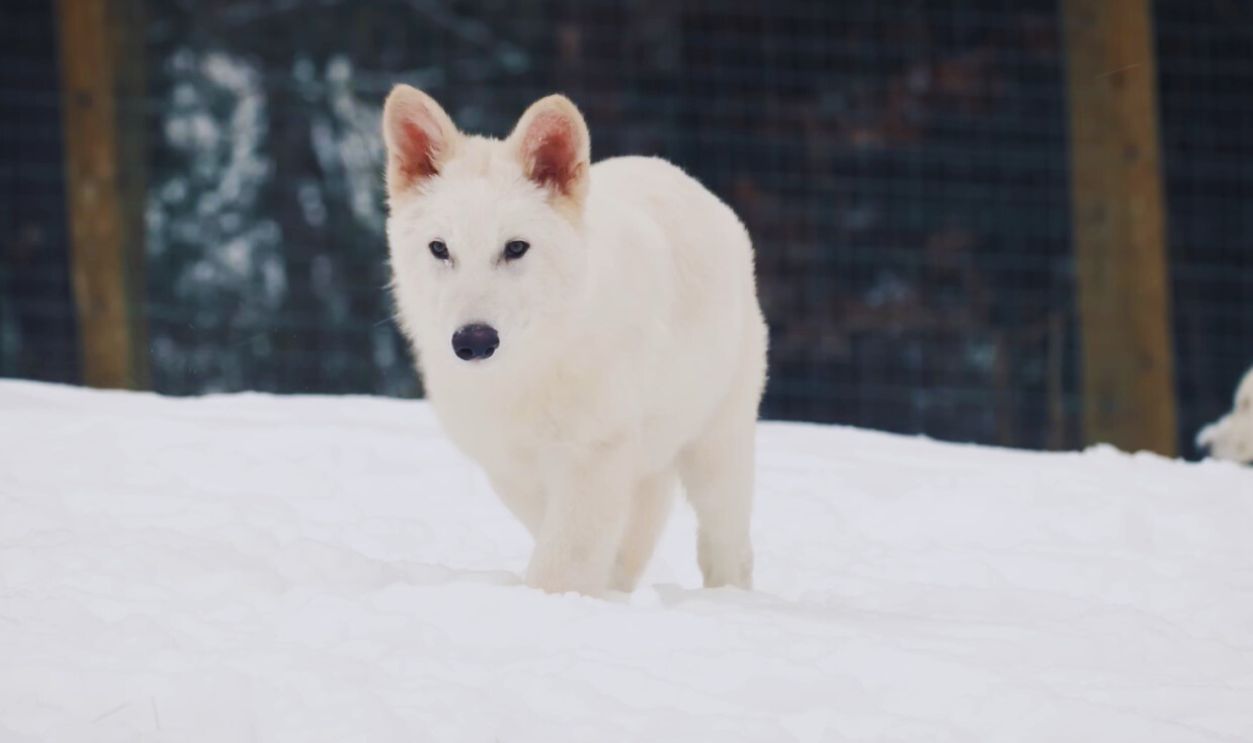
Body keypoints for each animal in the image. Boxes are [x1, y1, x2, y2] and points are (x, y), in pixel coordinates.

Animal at [380, 87, 768, 595]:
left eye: (516, 248)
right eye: (440, 249)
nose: (474, 341)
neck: (532, 369)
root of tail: (679, 175)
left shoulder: (593, 455)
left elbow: (563, 561)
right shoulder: (510, 465)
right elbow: (567, 540)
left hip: (716, 446)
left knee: (728, 547)